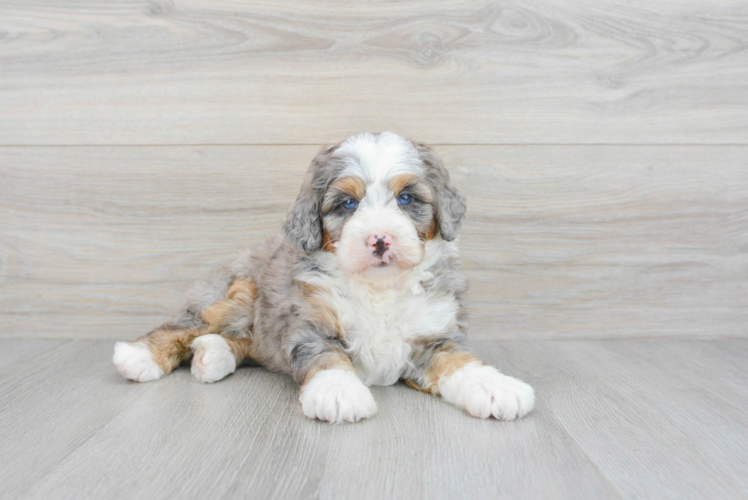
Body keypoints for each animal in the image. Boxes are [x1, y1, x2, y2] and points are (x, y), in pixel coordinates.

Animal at [111, 132, 536, 422]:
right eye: (347, 203)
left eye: (406, 199)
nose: (379, 240)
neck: (379, 288)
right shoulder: (308, 323)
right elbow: (326, 356)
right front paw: (338, 393)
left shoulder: (435, 335)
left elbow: (461, 360)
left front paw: (496, 387)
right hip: (229, 295)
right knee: (182, 326)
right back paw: (141, 356)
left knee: (246, 342)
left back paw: (212, 356)